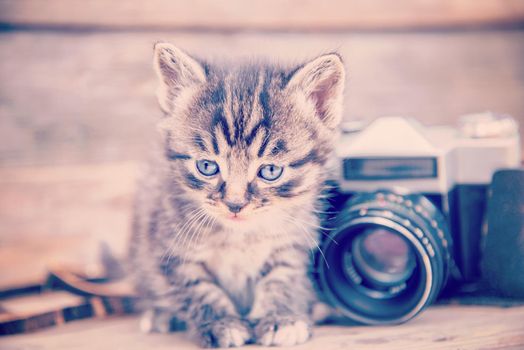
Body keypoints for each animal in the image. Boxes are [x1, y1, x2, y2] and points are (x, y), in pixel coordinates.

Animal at [129, 41, 346, 348]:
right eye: (207, 166)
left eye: (270, 170)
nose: (234, 204)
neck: (241, 237)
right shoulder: (169, 248)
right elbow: (198, 288)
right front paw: (221, 323)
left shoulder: (292, 243)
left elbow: (282, 279)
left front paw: (281, 318)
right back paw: (160, 314)